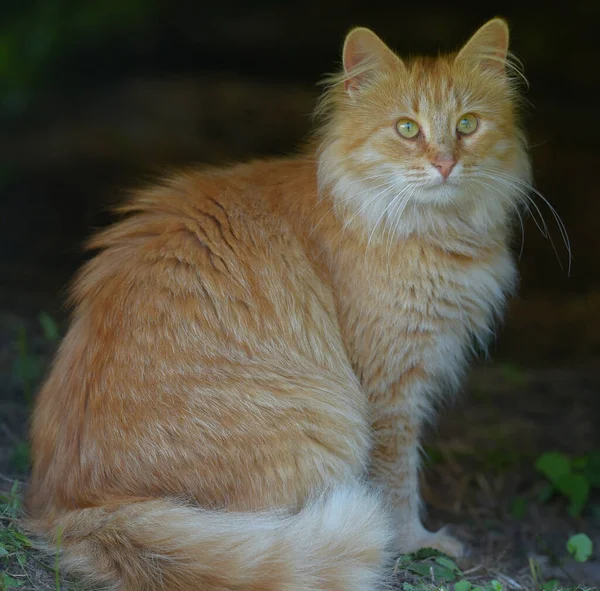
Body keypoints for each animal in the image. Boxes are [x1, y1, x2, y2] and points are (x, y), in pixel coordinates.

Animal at [28, 19, 532, 591]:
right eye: (407, 129)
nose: (446, 164)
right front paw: (415, 541)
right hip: (328, 426)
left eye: (468, 124)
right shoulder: (390, 392)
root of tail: (73, 509)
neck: (436, 229)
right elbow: (397, 482)